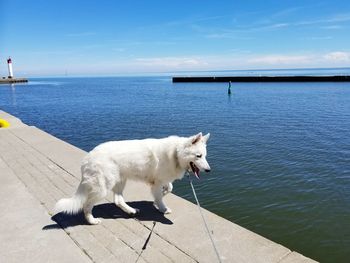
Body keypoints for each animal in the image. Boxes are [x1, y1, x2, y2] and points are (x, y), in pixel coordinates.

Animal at [53, 132, 209, 225]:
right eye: (198, 156)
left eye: (204, 156)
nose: (209, 170)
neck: (175, 154)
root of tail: (88, 157)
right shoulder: (157, 182)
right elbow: (160, 196)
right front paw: (162, 208)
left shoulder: (161, 180)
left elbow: (169, 188)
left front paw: (159, 199)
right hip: (104, 188)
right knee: (87, 205)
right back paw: (92, 220)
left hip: (120, 181)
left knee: (118, 200)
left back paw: (130, 210)